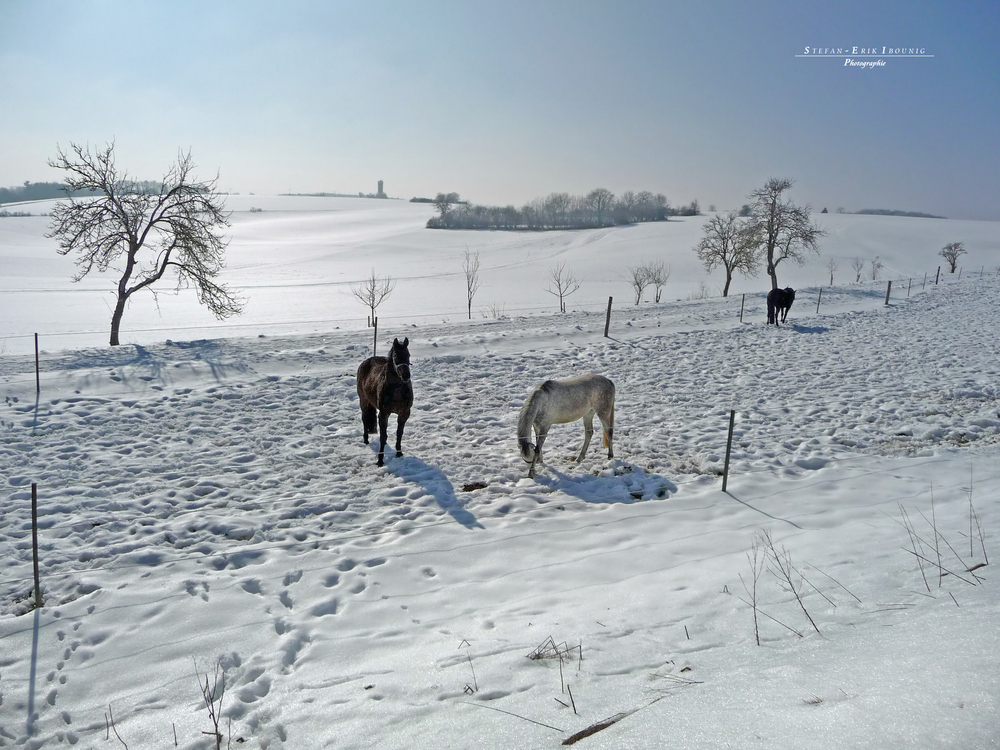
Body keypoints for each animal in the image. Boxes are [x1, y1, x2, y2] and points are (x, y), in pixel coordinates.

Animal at [358, 340, 412, 468]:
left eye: (408, 355)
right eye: (396, 356)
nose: (406, 376)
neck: (397, 390)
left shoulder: (404, 413)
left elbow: (399, 434)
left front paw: (399, 453)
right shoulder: (384, 414)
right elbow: (382, 437)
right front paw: (380, 460)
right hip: (364, 402)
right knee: (365, 420)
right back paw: (366, 440)